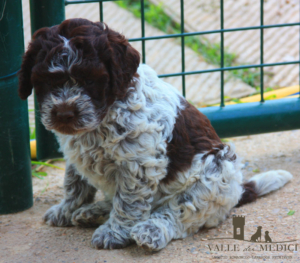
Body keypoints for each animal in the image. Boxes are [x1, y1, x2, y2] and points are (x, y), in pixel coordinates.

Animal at [17, 18, 292, 252]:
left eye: (90, 80)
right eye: (46, 81)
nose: (64, 114)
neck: (103, 118)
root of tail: (237, 192)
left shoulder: (138, 165)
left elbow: (128, 203)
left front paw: (114, 233)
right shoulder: (76, 154)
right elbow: (74, 185)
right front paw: (65, 210)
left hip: (212, 177)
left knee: (178, 214)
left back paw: (151, 230)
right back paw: (92, 212)